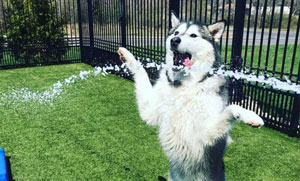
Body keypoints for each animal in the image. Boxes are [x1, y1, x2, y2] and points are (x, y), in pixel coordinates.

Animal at [118, 12, 264, 181]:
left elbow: (232, 108)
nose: (175, 40)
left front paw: (250, 116)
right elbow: (141, 71)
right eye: (176, 32)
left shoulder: (205, 136)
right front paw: (127, 56)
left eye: (193, 35)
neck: (184, 86)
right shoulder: (149, 111)